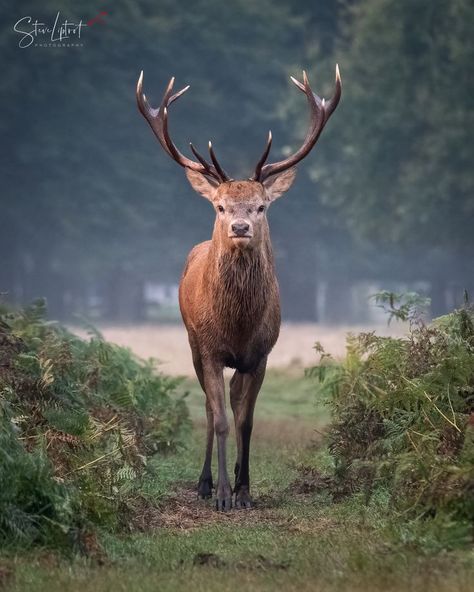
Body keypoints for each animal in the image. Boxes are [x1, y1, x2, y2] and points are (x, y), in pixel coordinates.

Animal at [136, 63, 340, 508]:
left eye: (261, 206)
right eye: (220, 206)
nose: (240, 227)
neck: (238, 324)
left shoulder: (261, 353)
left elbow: (246, 420)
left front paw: (246, 490)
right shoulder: (211, 349)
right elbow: (221, 420)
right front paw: (224, 494)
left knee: (231, 399)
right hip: (192, 342)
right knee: (210, 408)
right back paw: (204, 483)